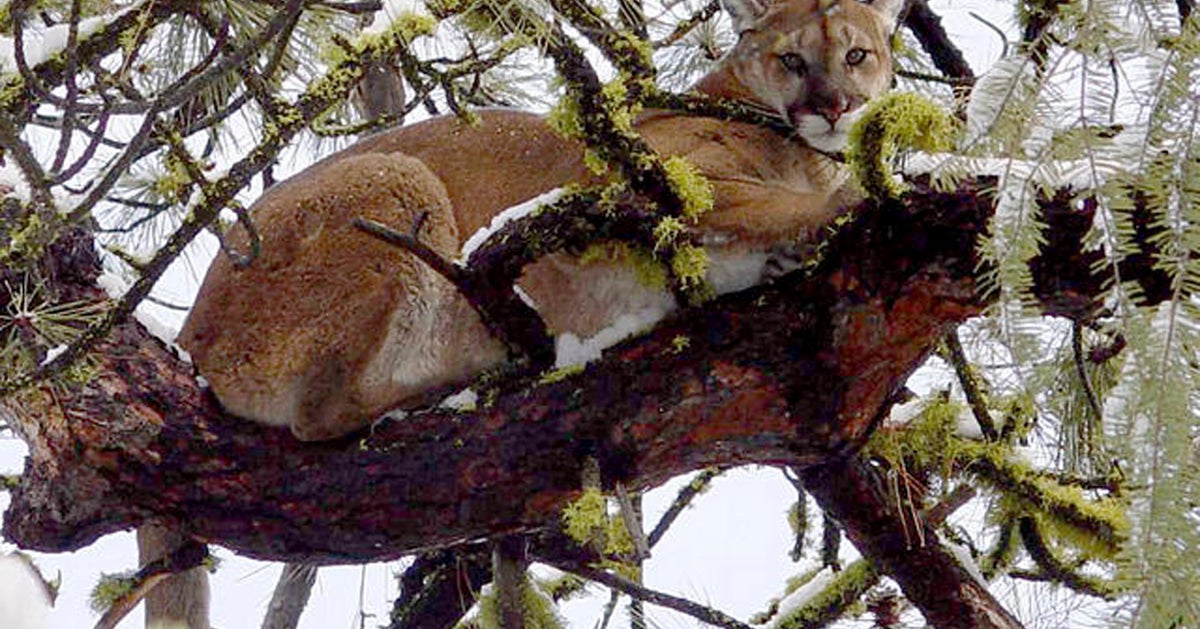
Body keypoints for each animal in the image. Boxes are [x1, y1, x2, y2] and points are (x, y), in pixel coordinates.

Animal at [180, 0, 902, 441]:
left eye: (857, 56)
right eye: (792, 60)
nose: (834, 107)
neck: (807, 156)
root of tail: (191, 332)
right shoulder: (664, 183)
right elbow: (771, 205)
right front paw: (858, 202)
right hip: (395, 179)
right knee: (319, 417)